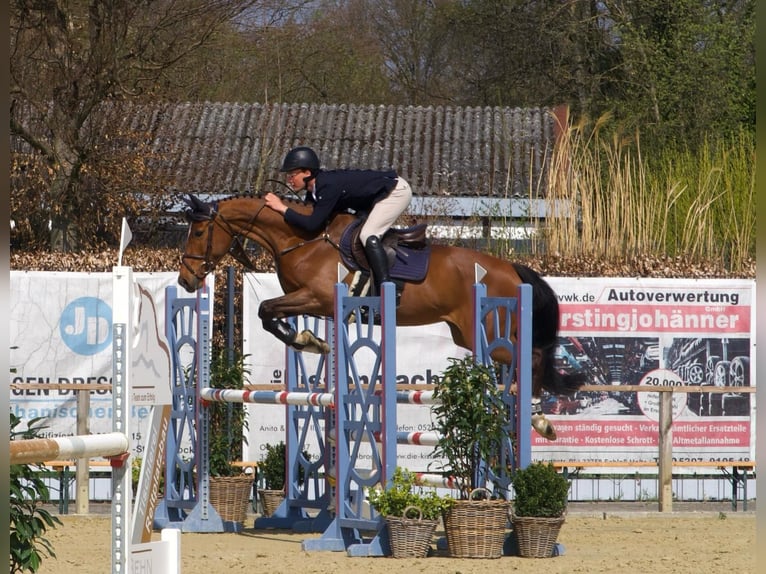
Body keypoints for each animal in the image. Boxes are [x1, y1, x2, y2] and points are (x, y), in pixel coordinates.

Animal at [177, 193, 586, 440]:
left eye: (198, 232)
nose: (185, 280)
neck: (303, 240)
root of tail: (511, 268)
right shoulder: (311, 303)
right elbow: (269, 313)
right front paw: (311, 341)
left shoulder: (316, 297)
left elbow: (266, 309)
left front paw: (307, 340)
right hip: (466, 335)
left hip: (483, 332)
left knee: (531, 354)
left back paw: (539, 417)